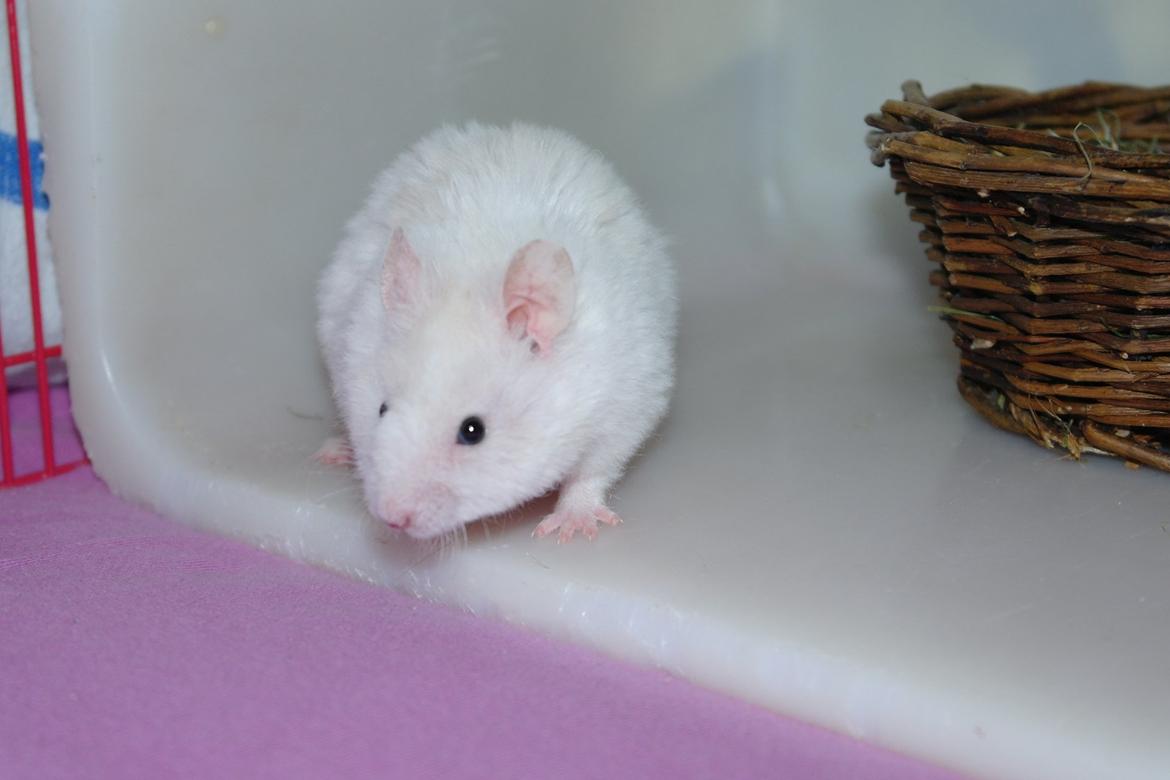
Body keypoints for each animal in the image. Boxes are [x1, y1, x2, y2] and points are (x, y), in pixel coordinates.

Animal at [316, 122, 676, 542]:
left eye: (473, 431)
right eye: (381, 408)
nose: (391, 519)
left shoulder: (624, 410)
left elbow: (590, 474)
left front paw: (570, 530)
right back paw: (333, 451)